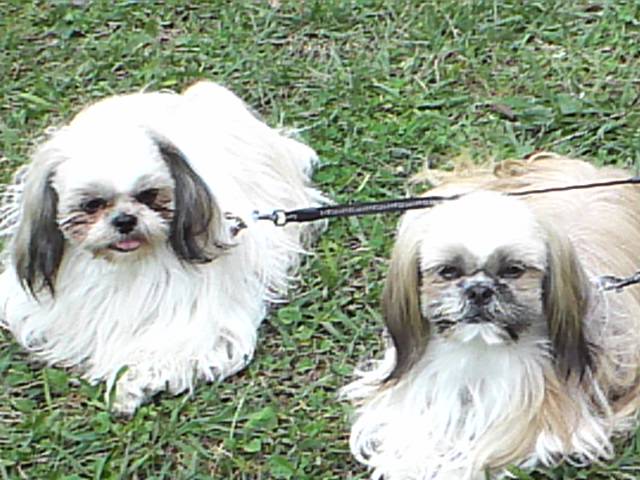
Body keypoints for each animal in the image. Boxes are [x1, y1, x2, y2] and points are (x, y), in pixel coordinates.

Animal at [0, 81, 325, 416]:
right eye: (92, 204)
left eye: (149, 195)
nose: (125, 220)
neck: (127, 265)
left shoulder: (200, 324)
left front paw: (129, 382)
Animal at [342, 153, 640, 479]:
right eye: (448, 271)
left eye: (514, 270)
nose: (479, 291)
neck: (479, 351)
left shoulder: (541, 419)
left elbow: (484, 451)